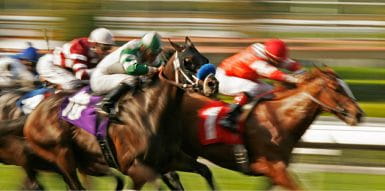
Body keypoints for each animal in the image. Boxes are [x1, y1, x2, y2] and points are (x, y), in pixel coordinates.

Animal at [23, 37, 213, 190]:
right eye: (187, 61)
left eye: (205, 59)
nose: (212, 83)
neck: (151, 111)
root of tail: (35, 112)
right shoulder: (135, 168)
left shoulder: (170, 159)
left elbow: (205, 171)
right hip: (62, 155)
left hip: (89, 161)